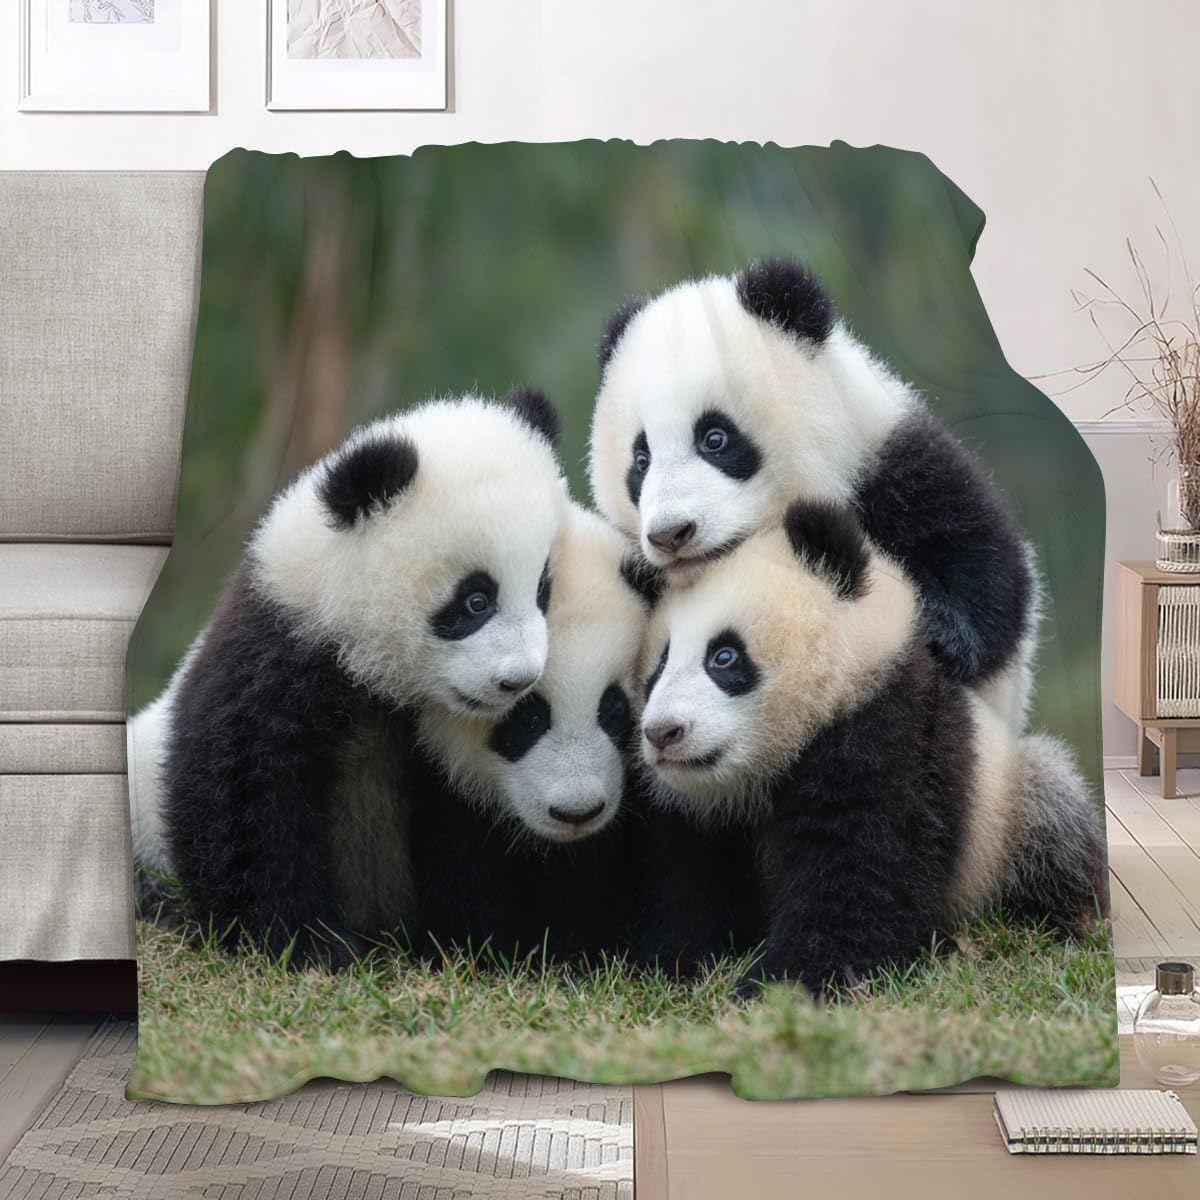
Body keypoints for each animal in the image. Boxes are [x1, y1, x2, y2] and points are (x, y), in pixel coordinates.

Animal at [149, 389, 569, 970]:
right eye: (474, 601)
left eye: (543, 589)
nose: (519, 680)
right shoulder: (279, 655)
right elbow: (250, 801)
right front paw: (307, 943)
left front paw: (466, 943)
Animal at [589, 258, 1039, 732]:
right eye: (641, 460)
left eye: (715, 438)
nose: (671, 533)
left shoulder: (891, 469)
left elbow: (984, 562)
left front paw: (941, 633)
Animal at [637, 498, 1106, 995]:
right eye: (658, 666)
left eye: (723, 657)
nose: (662, 733)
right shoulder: (700, 816)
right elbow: (689, 879)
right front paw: (678, 964)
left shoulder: (894, 727)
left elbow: (860, 868)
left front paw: (782, 982)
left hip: (1007, 815)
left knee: (1054, 818)